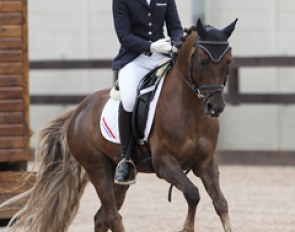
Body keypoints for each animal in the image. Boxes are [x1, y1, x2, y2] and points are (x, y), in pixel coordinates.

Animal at [3, 19, 237, 232]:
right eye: (202, 60)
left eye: (228, 61)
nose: (215, 107)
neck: (190, 110)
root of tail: (77, 112)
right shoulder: (165, 163)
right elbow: (193, 194)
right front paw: (186, 227)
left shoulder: (206, 163)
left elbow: (221, 203)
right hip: (97, 168)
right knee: (112, 216)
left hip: (118, 176)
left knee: (102, 217)